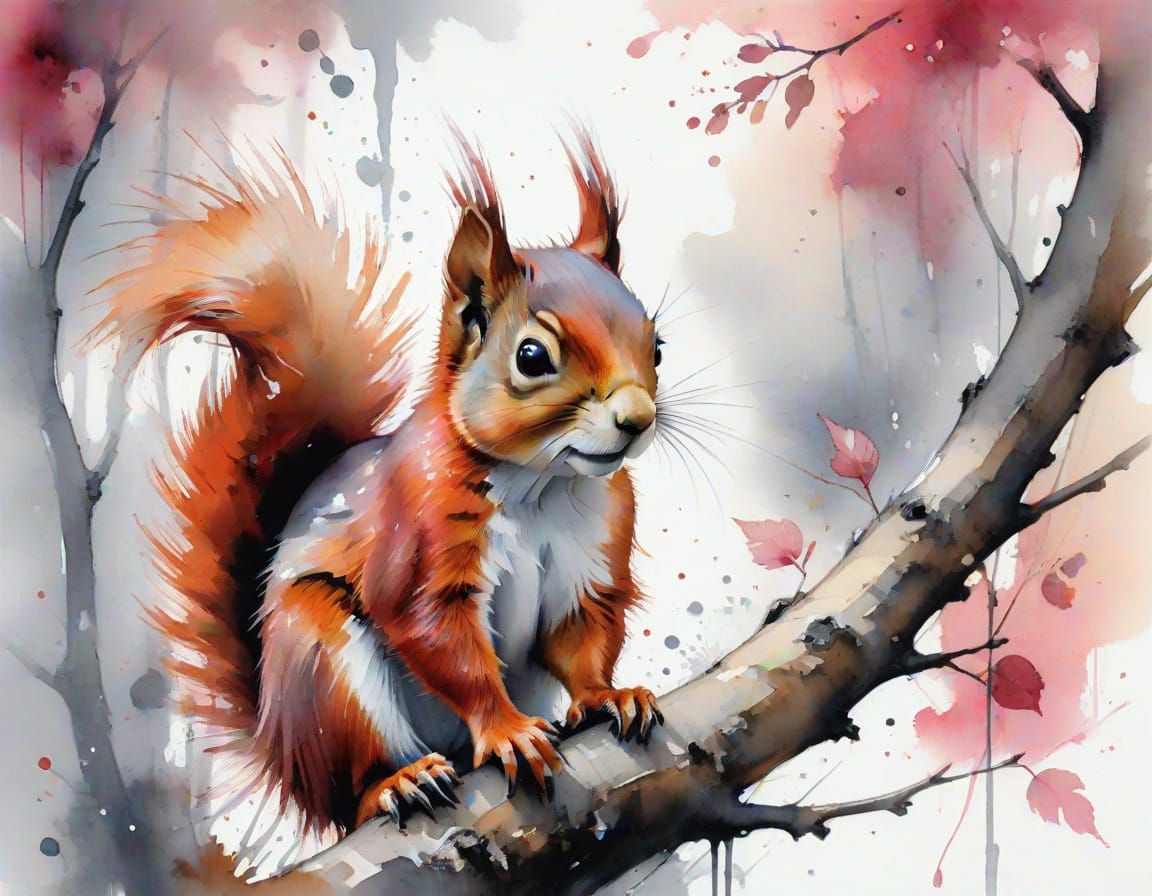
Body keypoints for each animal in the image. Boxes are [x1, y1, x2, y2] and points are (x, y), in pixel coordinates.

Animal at [94, 131, 665, 840]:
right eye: (532, 357)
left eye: (658, 347)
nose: (637, 419)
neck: (542, 484)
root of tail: (287, 759)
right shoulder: (420, 533)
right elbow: (436, 633)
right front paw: (505, 729)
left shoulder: (593, 553)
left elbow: (582, 635)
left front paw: (607, 696)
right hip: (322, 672)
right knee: (356, 785)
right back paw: (397, 782)